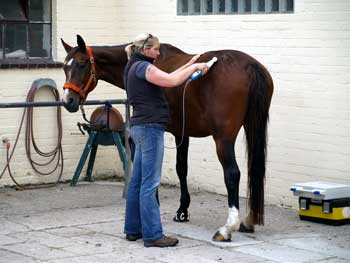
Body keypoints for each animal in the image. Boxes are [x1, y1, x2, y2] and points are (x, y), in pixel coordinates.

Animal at [60, 35, 274, 243]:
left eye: (82, 64)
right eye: (64, 66)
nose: (68, 101)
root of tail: (250, 66)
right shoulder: (182, 133)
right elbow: (181, 168)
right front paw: (182, 211)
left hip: (223, 138)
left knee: (232, 173)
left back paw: (227, 228)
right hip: (252, 127)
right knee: (254, 169)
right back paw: (249, 221)